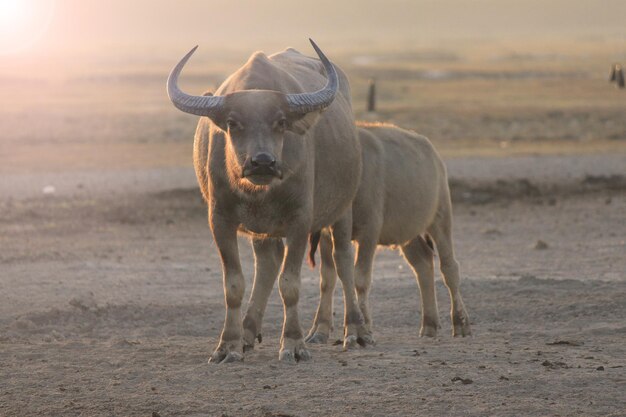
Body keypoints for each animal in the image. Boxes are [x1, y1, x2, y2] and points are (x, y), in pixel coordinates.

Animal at [168, 40, 368, 362]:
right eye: (233, 123)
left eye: (281, 121)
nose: (262, 162)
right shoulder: (220, 219)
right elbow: (233, 284)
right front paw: (228, 345)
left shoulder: (300, 219)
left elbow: (291, 284)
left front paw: (293, 344)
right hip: (264, 228)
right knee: (269, 263)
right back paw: (268, 332)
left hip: (342, 208)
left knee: (342, 261)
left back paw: (355, 331)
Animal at [304, 122, 470, 342]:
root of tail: (433, 153)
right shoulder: (325, 236)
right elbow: (327, 280)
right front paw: (320, 330)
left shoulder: (370, 231)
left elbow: (360, 278)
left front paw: (364, 328)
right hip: (407, 231)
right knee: (423, 262)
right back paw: (429, 325)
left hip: (440, 218)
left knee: (450, 268)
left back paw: (460, 323)